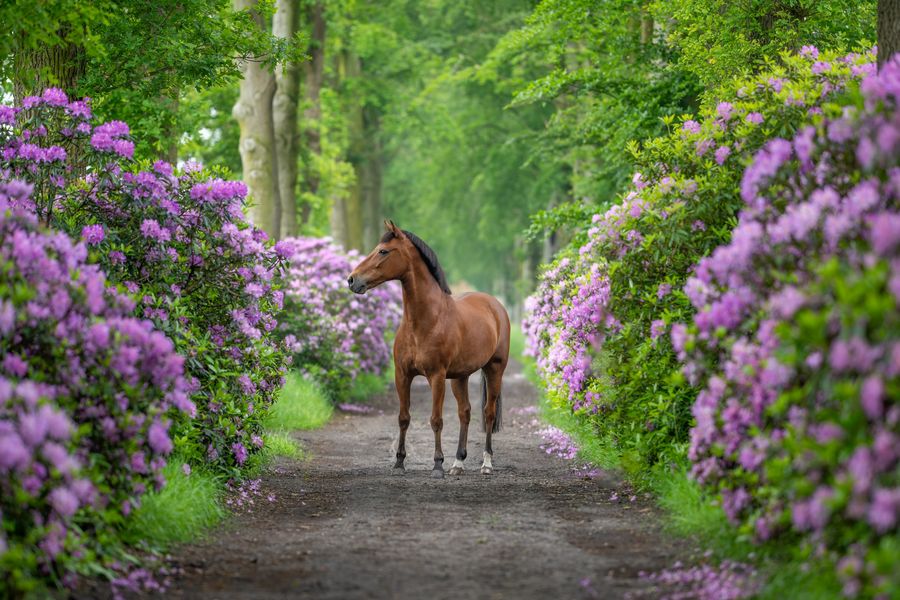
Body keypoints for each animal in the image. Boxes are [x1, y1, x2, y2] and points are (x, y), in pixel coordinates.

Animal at [348, 220, 510, 478]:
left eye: (383, 251)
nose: (352, 280)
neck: (426, 320)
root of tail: (495, 305)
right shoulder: (402, 375)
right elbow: (403, 417)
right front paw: (399, 462)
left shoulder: (436, 376)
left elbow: (436, 420)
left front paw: (437, 464)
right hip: (460, 377)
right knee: (465, 412)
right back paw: (458, 463)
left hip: (494, 369)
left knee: (488, 412)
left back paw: (486, 464)